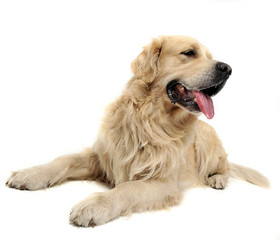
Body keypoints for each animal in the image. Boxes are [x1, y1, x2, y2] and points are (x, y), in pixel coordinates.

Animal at [6, 35, 270, 227]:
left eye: (210, 57)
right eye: (189, 53)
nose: (228, 69)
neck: (149, 120)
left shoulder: (163, 182)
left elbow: (127, 188)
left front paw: (94, 206)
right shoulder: (103, 156)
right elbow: (64, 159)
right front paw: (29, 174)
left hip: (208, 144)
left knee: (226, 168)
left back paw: (217, 179)